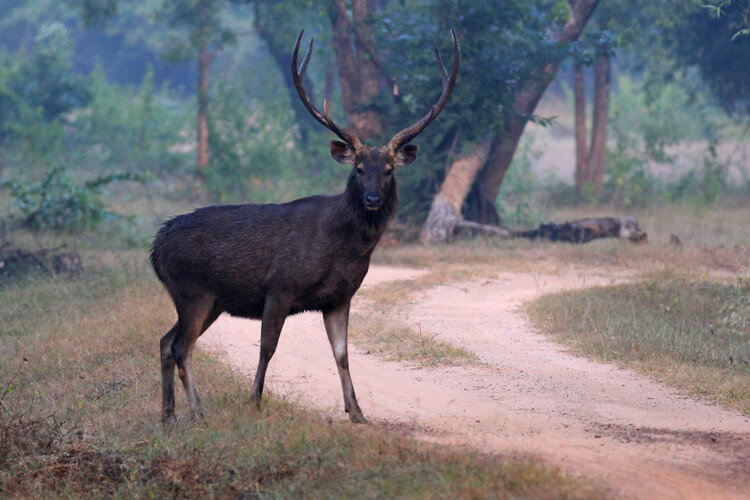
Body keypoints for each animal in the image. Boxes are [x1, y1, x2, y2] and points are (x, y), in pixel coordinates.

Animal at [151, 29, 462, 424]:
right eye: (359, 168)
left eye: (389, 170)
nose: (372, 198)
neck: (342, 248)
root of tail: (155, 247)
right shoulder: (280, 286)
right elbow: (267, 347)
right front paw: (253, 402)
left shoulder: (340, 297)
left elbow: (342, 353)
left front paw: (357, 411)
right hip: (192, 290)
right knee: (181, 347)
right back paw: (197, 410)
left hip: (209, 300)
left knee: (165, 341)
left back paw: (168, 415)